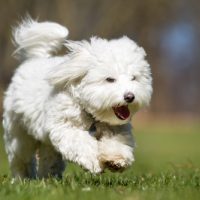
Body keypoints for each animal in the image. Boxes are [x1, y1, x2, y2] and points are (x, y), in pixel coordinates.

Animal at [2, 18, 152, 178]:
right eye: (109, 79)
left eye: (134, 78)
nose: (130, 96)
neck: (91, 115)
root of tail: (35, 59)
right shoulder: (64, 127)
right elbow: (81, 142)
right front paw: (93, 161)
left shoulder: (117, 129)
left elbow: (117, 143)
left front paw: (116, 159)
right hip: (19, 135)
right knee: (21, 158)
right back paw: (23, 178)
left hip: (46, 142)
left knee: (49, 157)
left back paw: (49, 177)